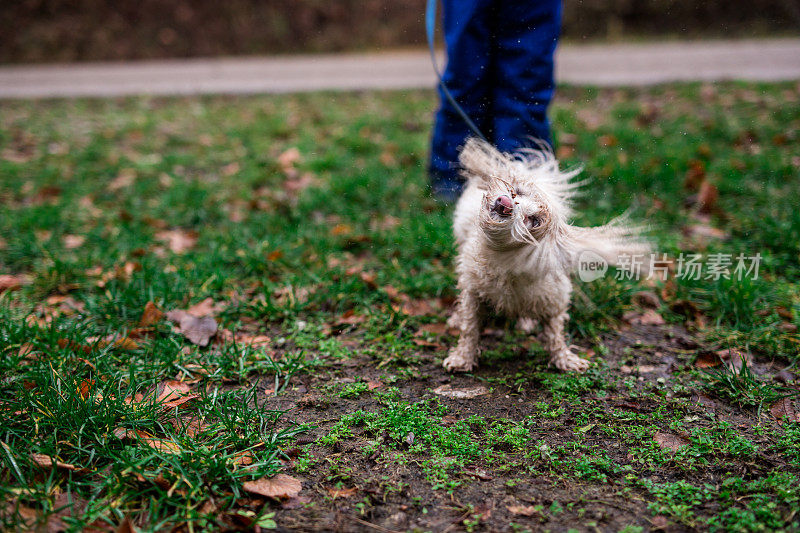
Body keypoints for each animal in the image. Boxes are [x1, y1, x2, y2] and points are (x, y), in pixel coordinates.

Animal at [444, 139, 648, 374]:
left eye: (534, 220)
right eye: (517, 193)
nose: (504, 202)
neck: (507, 263)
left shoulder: (554, 299)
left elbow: (555, 333)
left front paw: (565, 359)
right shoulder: (473, 291)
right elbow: (470, 327)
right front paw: (462, 357)